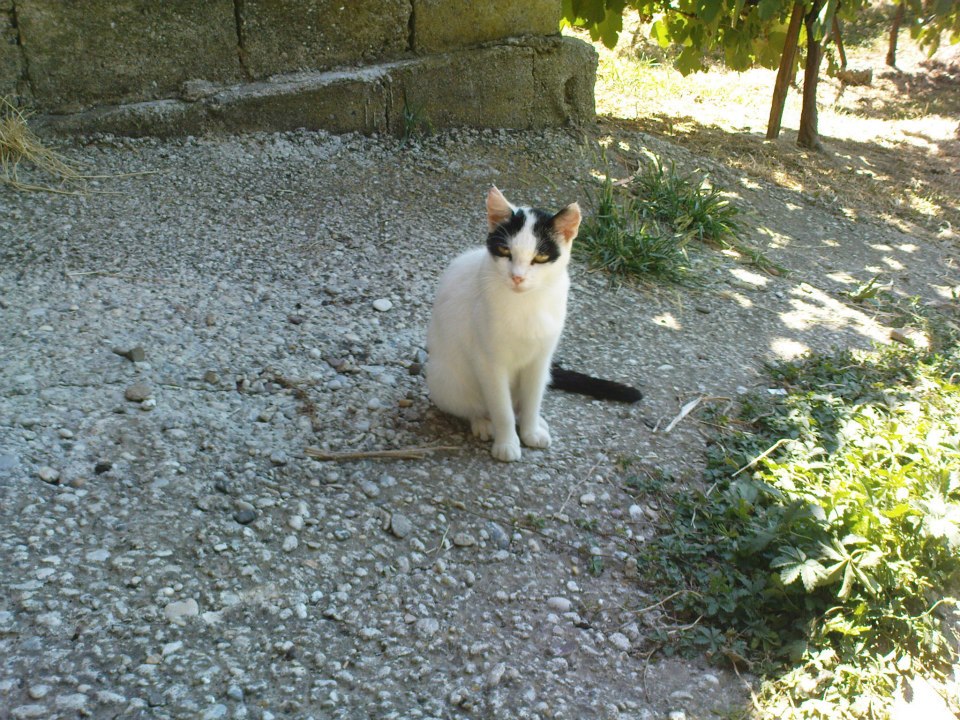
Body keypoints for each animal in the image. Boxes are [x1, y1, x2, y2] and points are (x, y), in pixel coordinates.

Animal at [426, 186, 640, 462]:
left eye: (539, 257)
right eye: (505, 251)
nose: (517, 277)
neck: (526, 304)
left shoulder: (540, 359)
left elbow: (532, 401)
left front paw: (530, 431)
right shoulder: (490, 363)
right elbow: (502, 410)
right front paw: (507, 442)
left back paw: (537, 422)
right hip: (445, 379)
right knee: (472, 405)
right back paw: (483, 422)